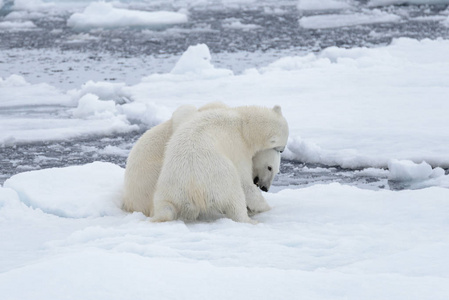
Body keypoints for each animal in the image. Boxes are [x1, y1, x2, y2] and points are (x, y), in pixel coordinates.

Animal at [122, 104, 280, 217]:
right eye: (270, 167)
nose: (265, 188)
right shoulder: (238, 147)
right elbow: (245, 183)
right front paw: (263, 206)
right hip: (216, 179)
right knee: (233, 194)